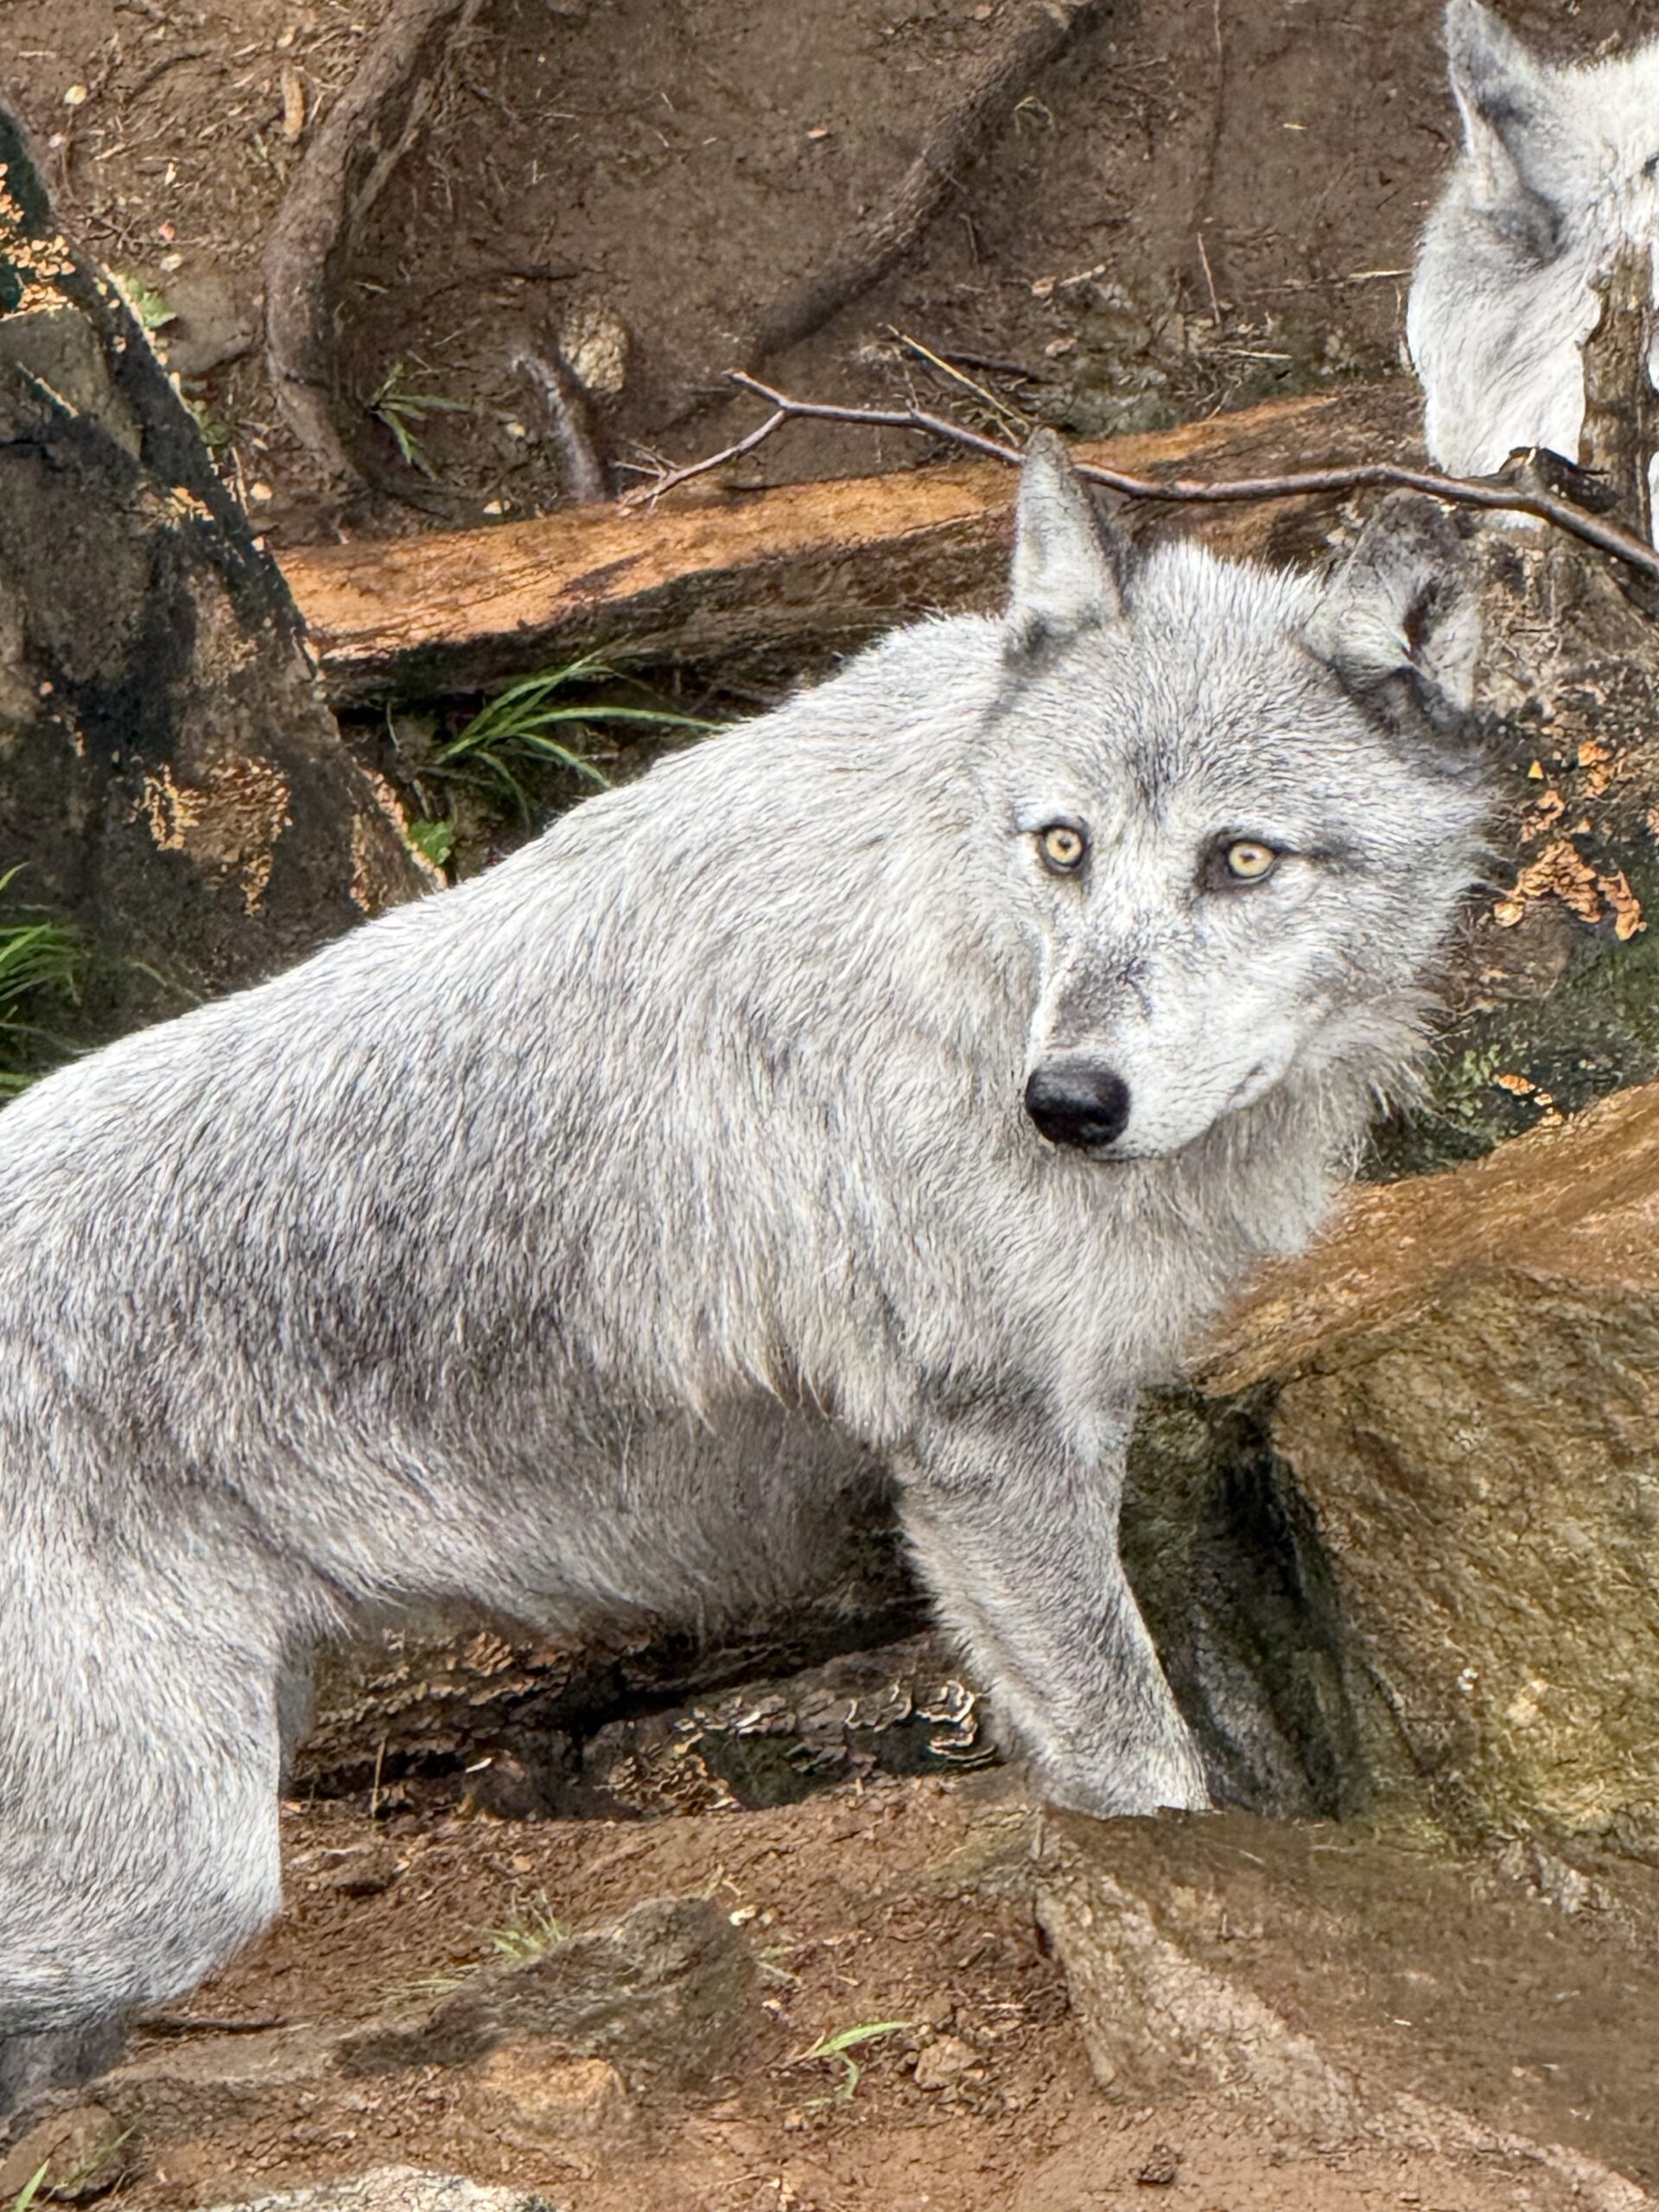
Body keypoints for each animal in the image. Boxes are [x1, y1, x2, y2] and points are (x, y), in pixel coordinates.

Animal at [0, 437, 1484, 2111]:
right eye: (1066, 846)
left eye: (1240, 860)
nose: (1066, 1104)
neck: (965, 951)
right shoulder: (994, 1448)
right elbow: (1150, 1777)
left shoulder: (1032, 1458)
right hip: (173, 1879)